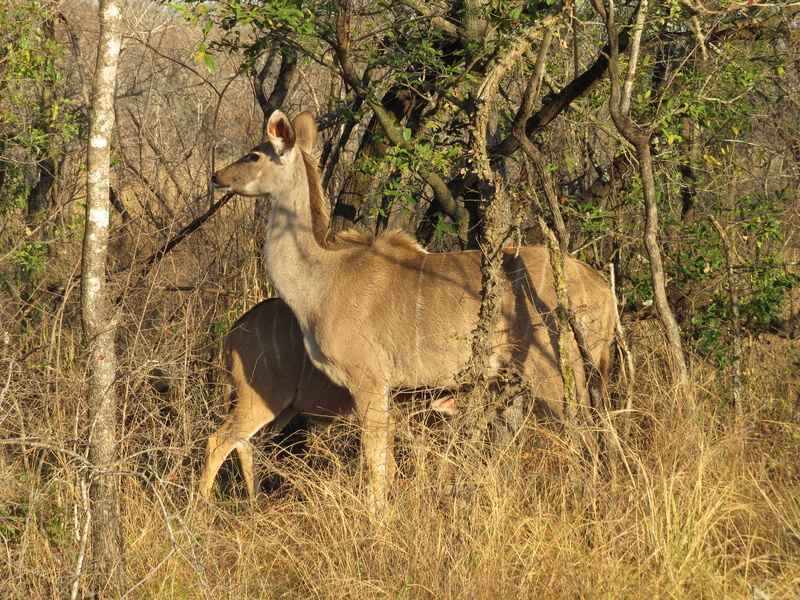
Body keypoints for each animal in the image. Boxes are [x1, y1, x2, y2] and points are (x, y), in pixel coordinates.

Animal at [211, 110, 617, 505]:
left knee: (586, 431)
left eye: (254, 155)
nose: (217, 177)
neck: (322, 278)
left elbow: (377, 465)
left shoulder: (370, 380)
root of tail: (605, 293)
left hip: (554, 371)